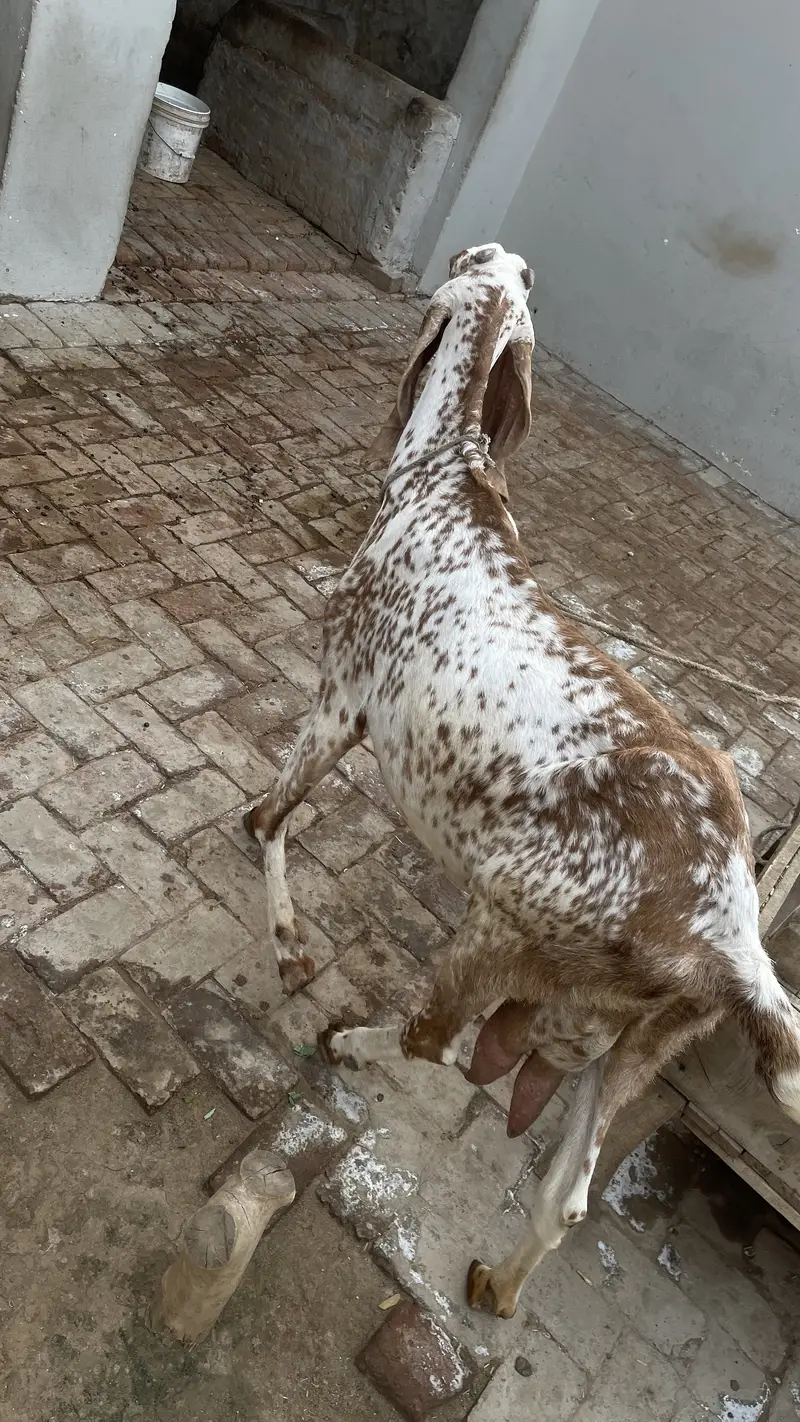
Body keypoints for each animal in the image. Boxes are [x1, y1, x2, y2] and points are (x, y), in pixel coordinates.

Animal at [245, 241, 800, 1319]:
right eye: (503, 270)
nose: (483, 251)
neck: (446, 481)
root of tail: (728, 943)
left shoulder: (341, 703)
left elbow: (268, 819)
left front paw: (288, 943)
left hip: (500, 921)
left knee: (431, 1041)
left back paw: (353, 1042)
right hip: (623, 1050)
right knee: (570, 1196)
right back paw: (498, 1286)